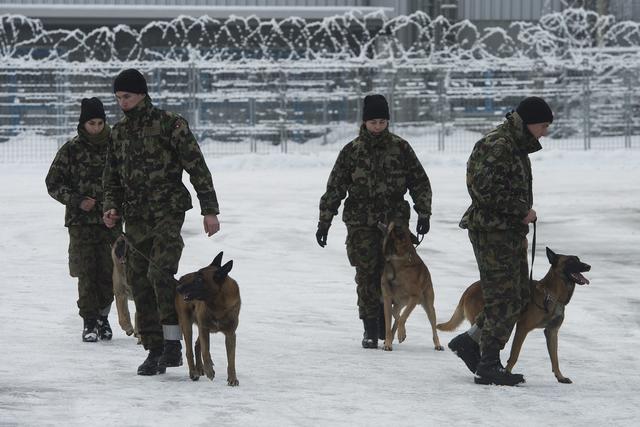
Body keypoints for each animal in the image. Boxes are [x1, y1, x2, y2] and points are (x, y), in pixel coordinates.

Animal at [175, 252, 240, 386]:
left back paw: (200, 368)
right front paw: (210, 370)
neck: (218, 305)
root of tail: (181, 278)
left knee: (196, 345)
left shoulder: (230, 334)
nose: (178, 288)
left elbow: (231, 359)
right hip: (187, 323)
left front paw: (232, 378)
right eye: (195, 275)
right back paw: (194, 372)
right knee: (189, 350)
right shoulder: (204, 328)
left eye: (199, 279)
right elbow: (206, 351)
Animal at [378, 222, 442, 352]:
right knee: (395, 313)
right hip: (400, 303)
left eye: (394, 227)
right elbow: (390, 324)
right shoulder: (387, 299)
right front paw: (388, 343)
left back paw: (437, 344)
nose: (381, 221)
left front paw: (401, 334)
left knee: (433, 327)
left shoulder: (414, 297)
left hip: (428, 305)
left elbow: (402, 318)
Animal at [438, 247, 592, 384]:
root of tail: (468, 289)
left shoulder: (552, 332)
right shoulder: (522, 328)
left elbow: (555, 358)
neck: (552, 294)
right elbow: (514, 354)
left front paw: (560, 377)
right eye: (571, 261)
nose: (589, 266)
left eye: (578, 259)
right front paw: (506, 373)